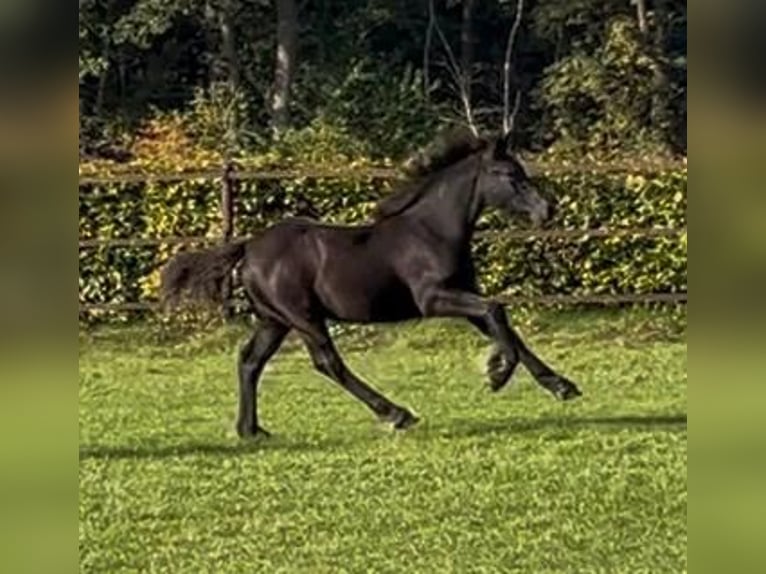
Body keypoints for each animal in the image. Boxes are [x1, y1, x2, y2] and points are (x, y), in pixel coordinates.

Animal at [160, 130, 582, 438]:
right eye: (510, 175)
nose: (547, 210)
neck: (432, 230)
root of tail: (248, 246)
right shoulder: (434, 299)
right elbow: (497, 311)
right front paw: (496, 372)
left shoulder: (464, 297)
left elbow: (503, 324)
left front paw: (561, 385)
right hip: (303, 317)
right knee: (327, 362)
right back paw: (396, 413)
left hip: (274, 320)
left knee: (250, 360)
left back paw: (251, 430)